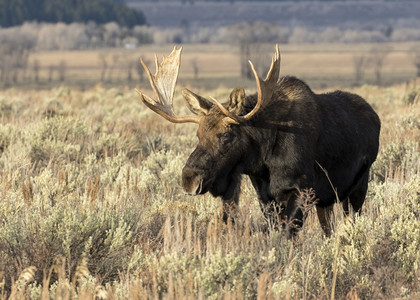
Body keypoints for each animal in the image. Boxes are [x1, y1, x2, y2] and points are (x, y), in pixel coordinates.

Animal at [137, 45, 380, 236]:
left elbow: (287, 234)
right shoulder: (265, 194)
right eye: (198, 134)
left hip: (357, 187)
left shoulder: (302, 189)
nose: (189, 178)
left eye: (226, 135)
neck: (264, 157)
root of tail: (375, 117)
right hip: (328, 199)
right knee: (328, 229)